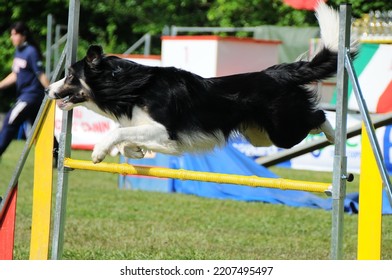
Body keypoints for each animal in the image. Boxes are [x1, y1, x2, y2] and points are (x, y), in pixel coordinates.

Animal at [46, 2, 358, 163]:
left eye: (71, 76)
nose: (48, 89)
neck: (133, 88)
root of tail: (277, 72)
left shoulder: (164, 129)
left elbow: (117, 132)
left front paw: (99, 151)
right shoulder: (163, 138)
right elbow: (127, 138)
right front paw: (134, 151)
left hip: (282, 131)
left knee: (318, 115)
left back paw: (335, 137)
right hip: (259, 135)